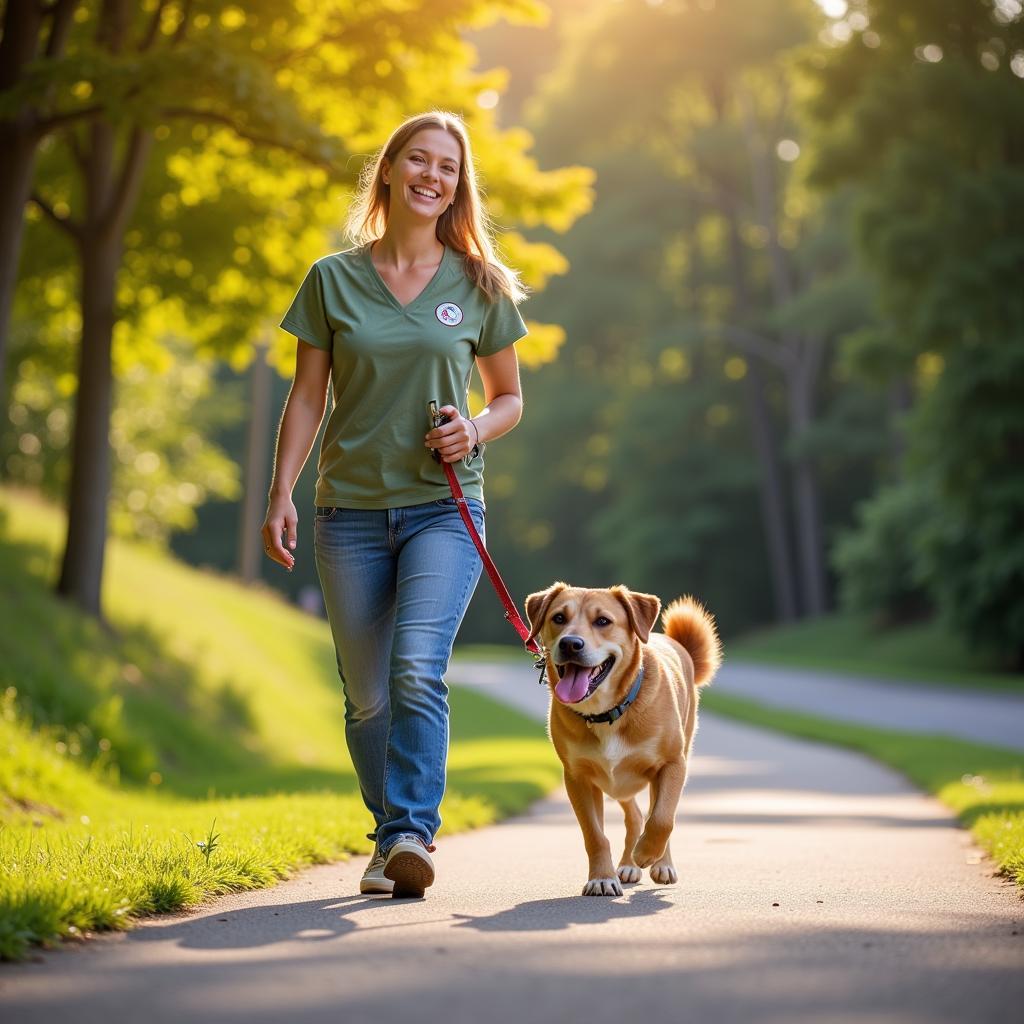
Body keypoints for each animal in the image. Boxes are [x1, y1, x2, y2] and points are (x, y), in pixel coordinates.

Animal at [524, 585, 724, 897]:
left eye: (603, 621)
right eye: (558, 617)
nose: (570, 644)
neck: (606, 713)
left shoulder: (672, 765)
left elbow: (663, 818)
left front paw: (646, 854)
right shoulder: (578, 778)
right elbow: (595, 835)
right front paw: (602, 878)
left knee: (656, 812)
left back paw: (658, 862)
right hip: (618, 782)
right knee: (635, 815)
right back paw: (628, 863)